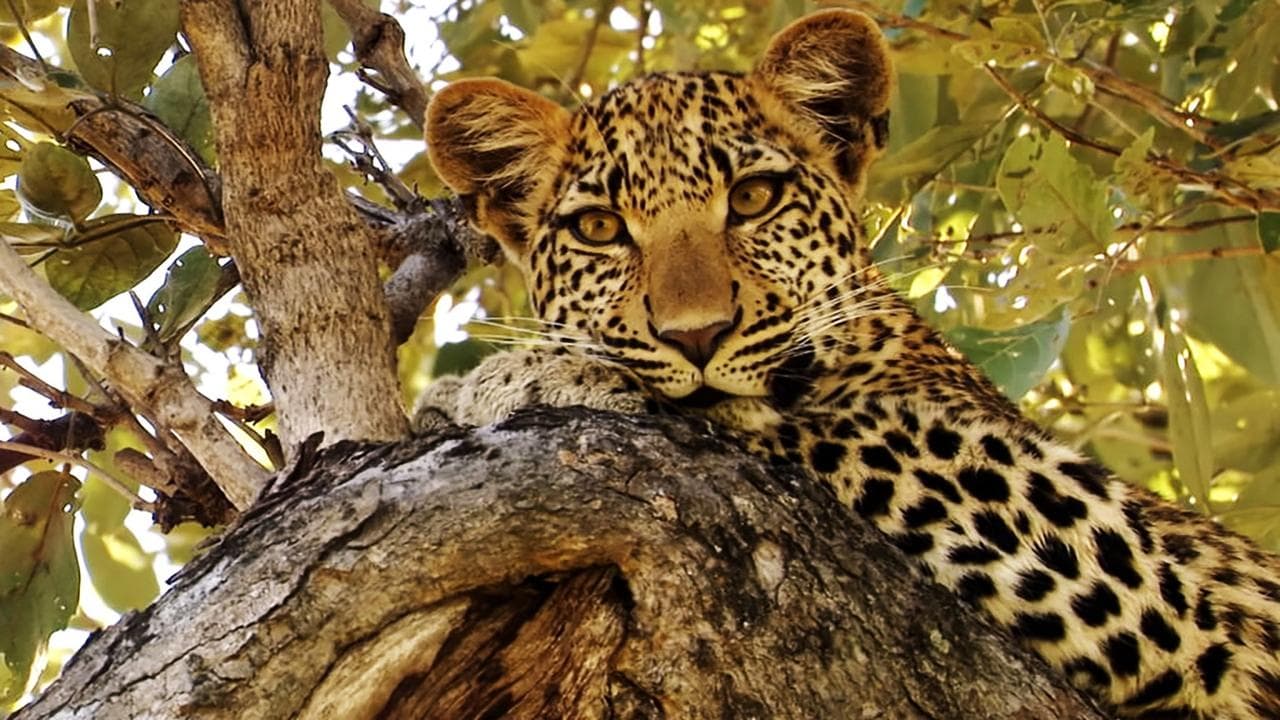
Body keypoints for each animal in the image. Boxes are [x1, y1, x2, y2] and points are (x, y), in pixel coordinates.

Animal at [417, 8, 1280, 712]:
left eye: (754, 198)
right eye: (599, 228)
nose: (697, 336)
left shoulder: (1178, 592)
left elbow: (807, 420)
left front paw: (521, 375)